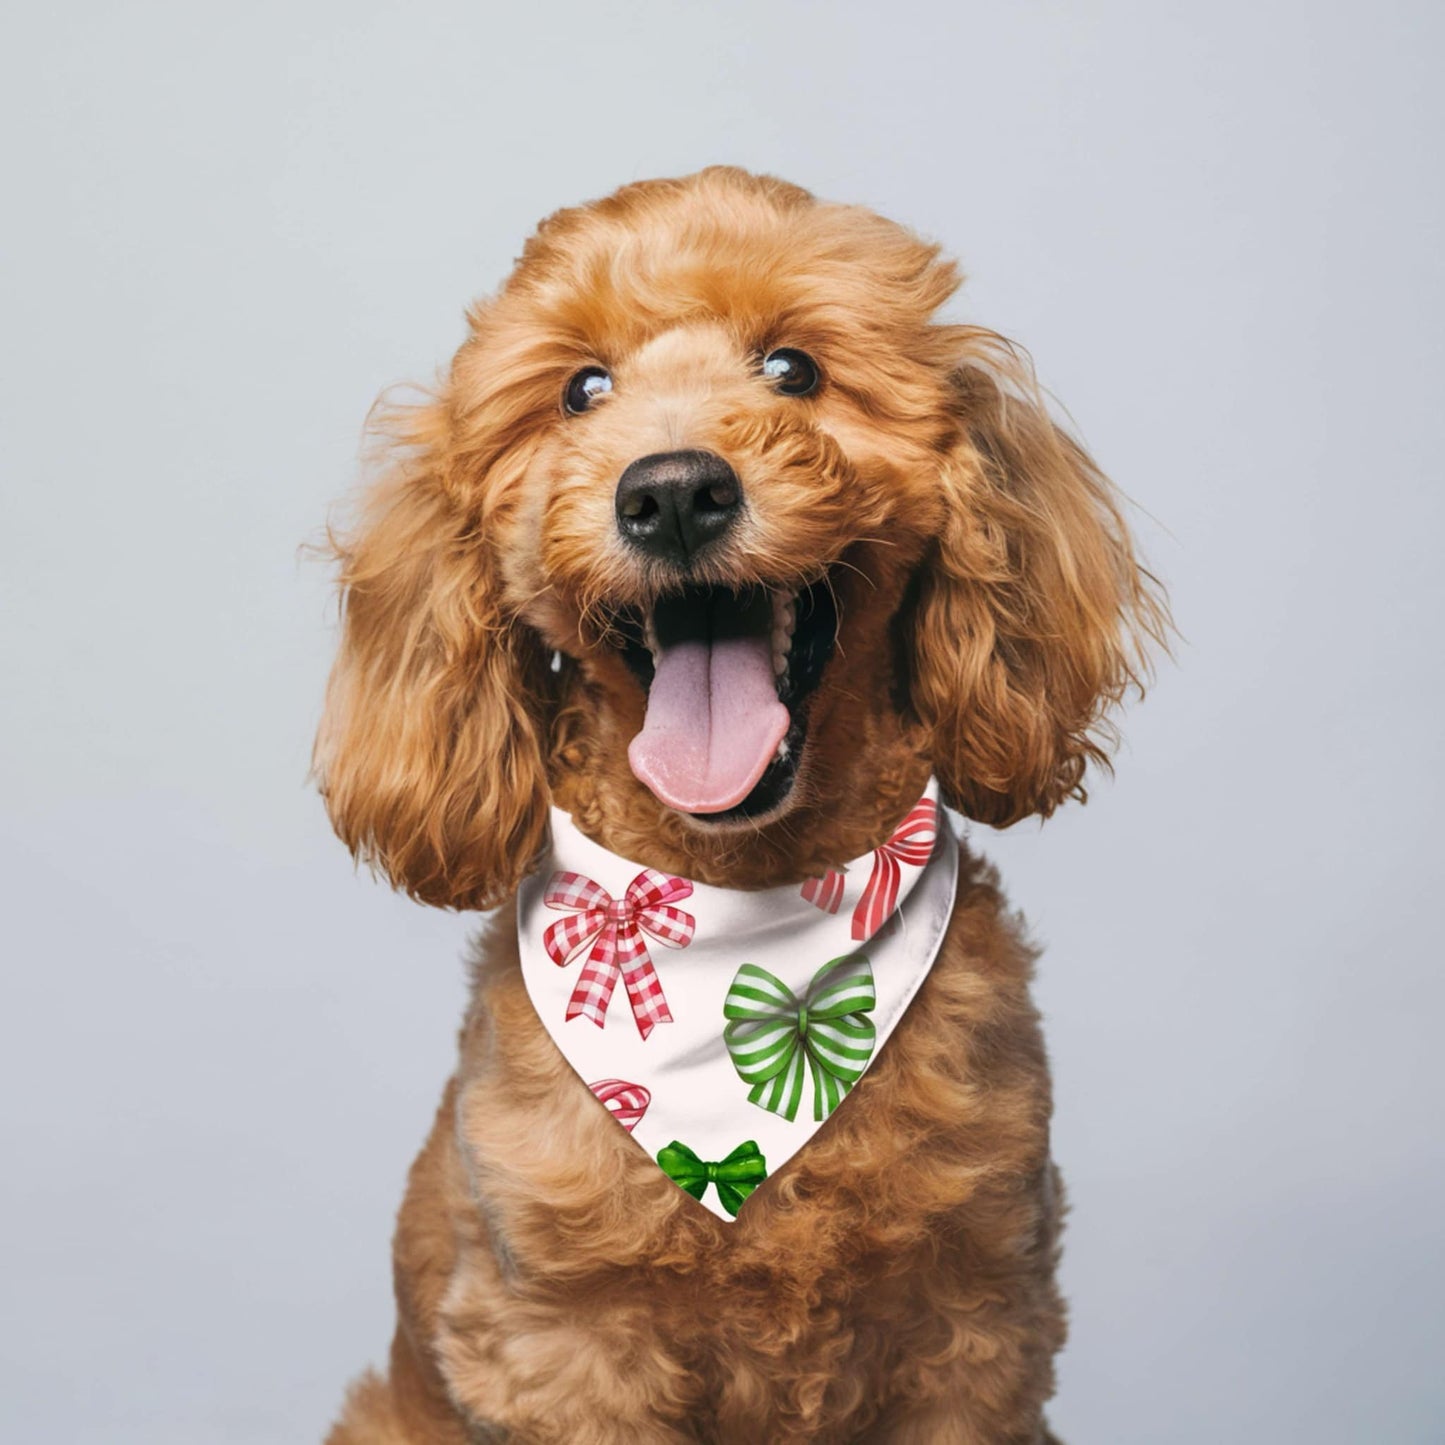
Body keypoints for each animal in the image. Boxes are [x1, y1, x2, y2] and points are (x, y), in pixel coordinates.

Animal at [313, 164, 1161, 1439]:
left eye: (792, 368)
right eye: (581, 390)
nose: (671, 492)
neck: (746, 906)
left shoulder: (975, 1330)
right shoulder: (564, 1348)